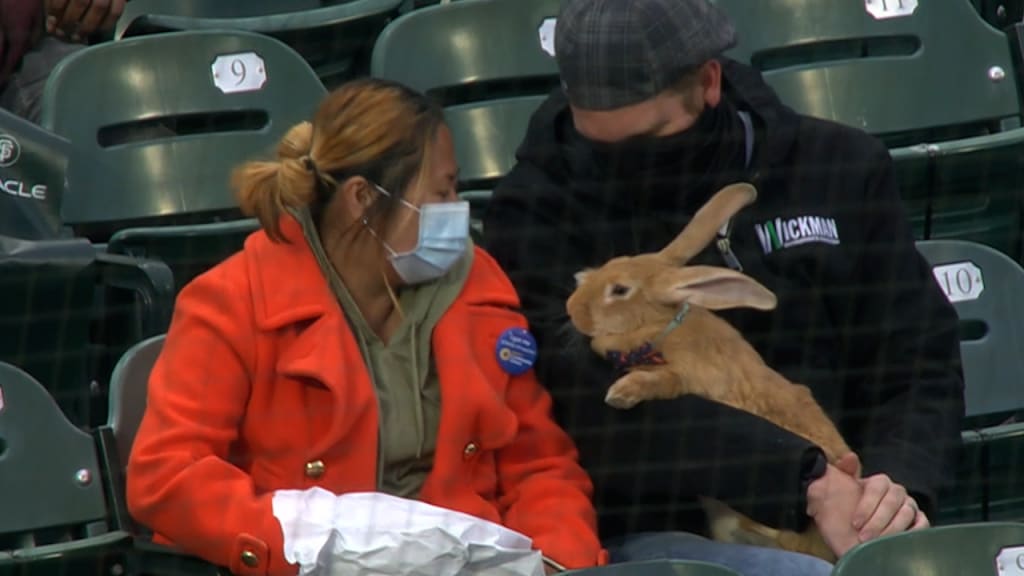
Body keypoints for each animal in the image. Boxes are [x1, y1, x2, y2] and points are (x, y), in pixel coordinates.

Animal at [569, 182, 856, 561]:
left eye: (619, 290)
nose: (573, 308)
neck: (664, 325)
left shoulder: (685, 376)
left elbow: (660, 382)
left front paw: (620, 394)